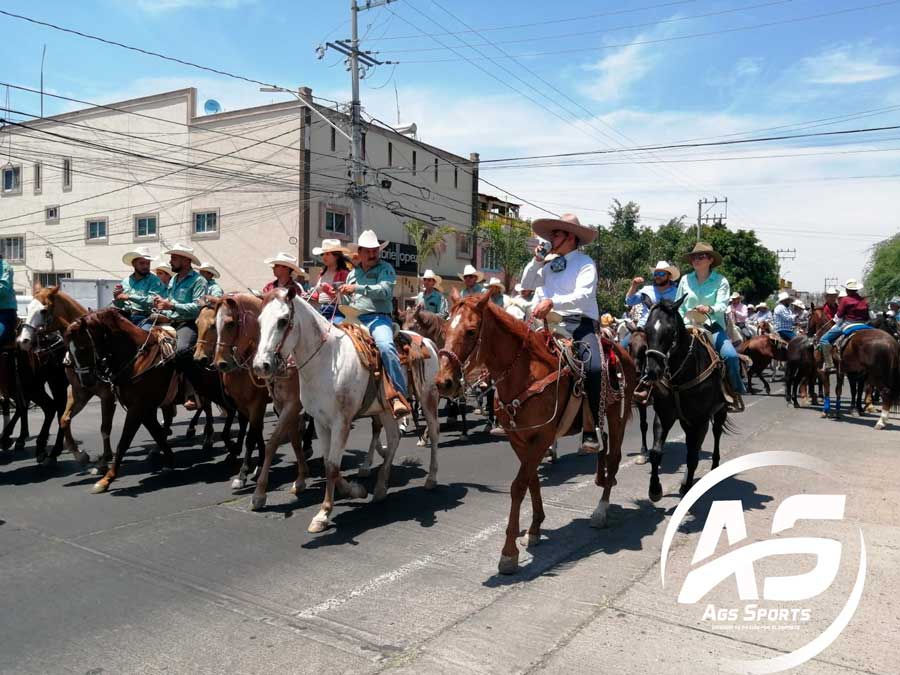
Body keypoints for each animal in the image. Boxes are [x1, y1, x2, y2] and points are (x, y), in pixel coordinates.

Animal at [65, 308, 179, 494]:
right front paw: (81, 456)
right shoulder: (80, 394)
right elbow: (64, 420)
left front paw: (104, 473)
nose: (86, 380)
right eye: (68, 348)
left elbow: (117, 437)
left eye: (83, 348)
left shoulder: (127, 404)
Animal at [434, 292, 632, 576]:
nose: (444, 383)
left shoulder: (543, 437)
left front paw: (509, 553)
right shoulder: (519, 439)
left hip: (618, 418)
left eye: (471, 331)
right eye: (445, 329)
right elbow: (532, 481)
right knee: (602, 446)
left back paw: (601, 511)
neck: (525, 374)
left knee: (614, 457)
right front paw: (535, 529)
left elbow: (518, 486)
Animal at [640, 300, 732, 502]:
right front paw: (655, 490)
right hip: (686, 422)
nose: (653, 371)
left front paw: (688, 488)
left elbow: (692, 457)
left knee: (715, 434)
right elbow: (656, 453)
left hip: (719, 412)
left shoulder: (701, 420)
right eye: (646, 329)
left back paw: (713, 469)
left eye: (670, 331)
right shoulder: (664, 415)